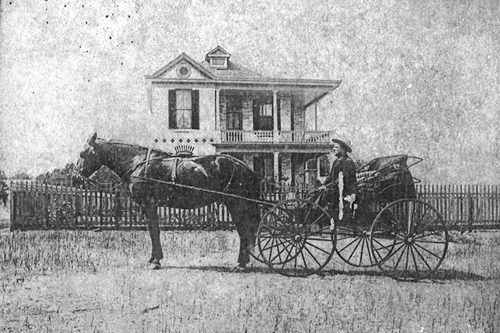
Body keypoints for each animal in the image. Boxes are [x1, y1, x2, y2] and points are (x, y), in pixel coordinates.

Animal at [76, 132, 262, 270]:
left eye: (82, 153)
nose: (76, 177)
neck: (137, 162)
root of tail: (245, 167)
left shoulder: (150, 205)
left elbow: (154, 232)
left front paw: (155, 261)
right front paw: (154, 259)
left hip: (236, 204)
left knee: (244, 231)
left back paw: (240, 264)